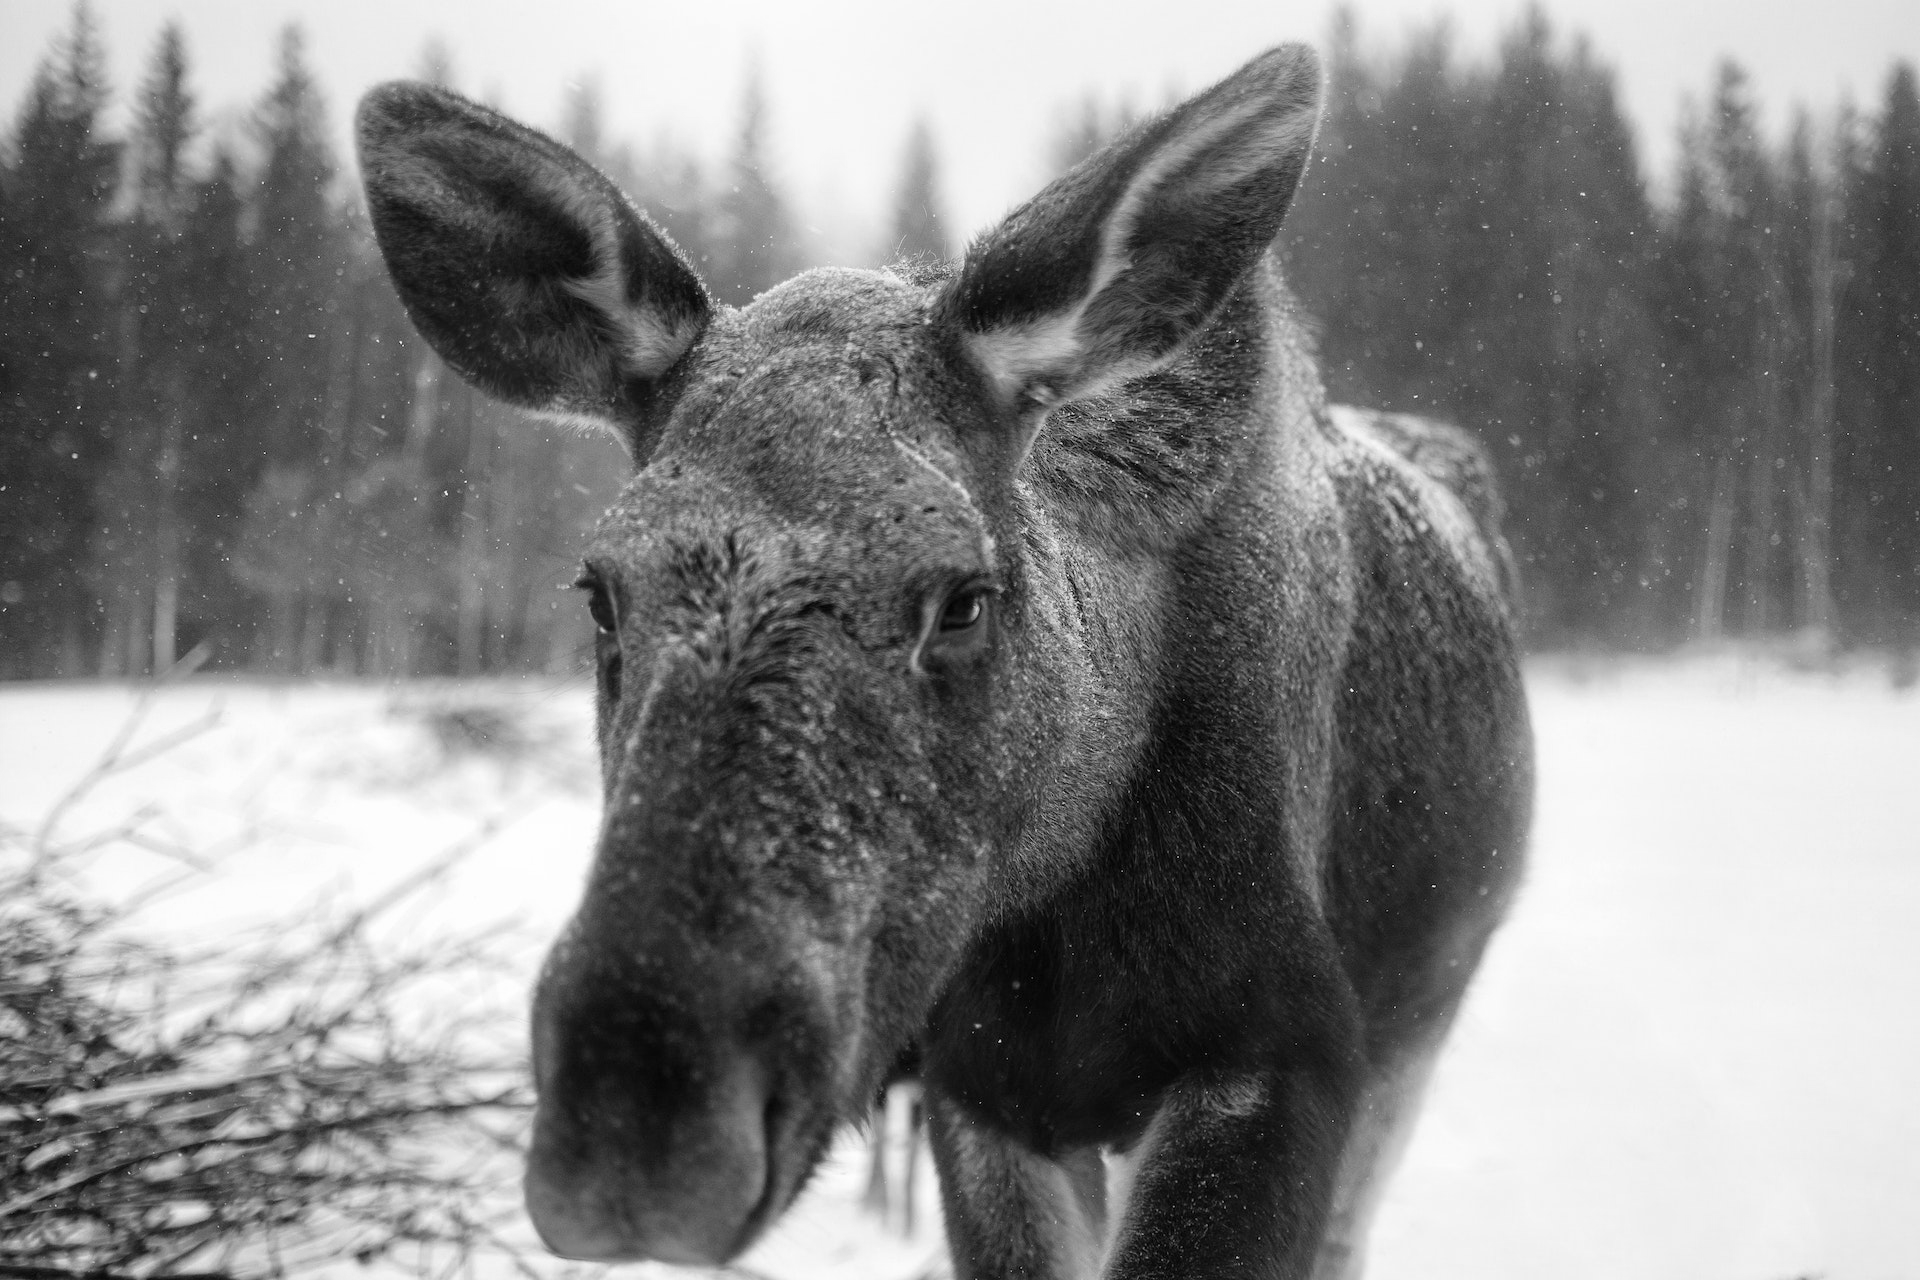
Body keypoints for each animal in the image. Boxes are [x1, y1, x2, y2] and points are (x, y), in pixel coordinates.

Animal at [356, 43, 1532, 1280]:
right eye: (599, 594)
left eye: (963, 598)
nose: (636, 1131)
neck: (1067, 887)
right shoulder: (985, 1083)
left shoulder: (1279, 1042)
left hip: (1422, 1016)